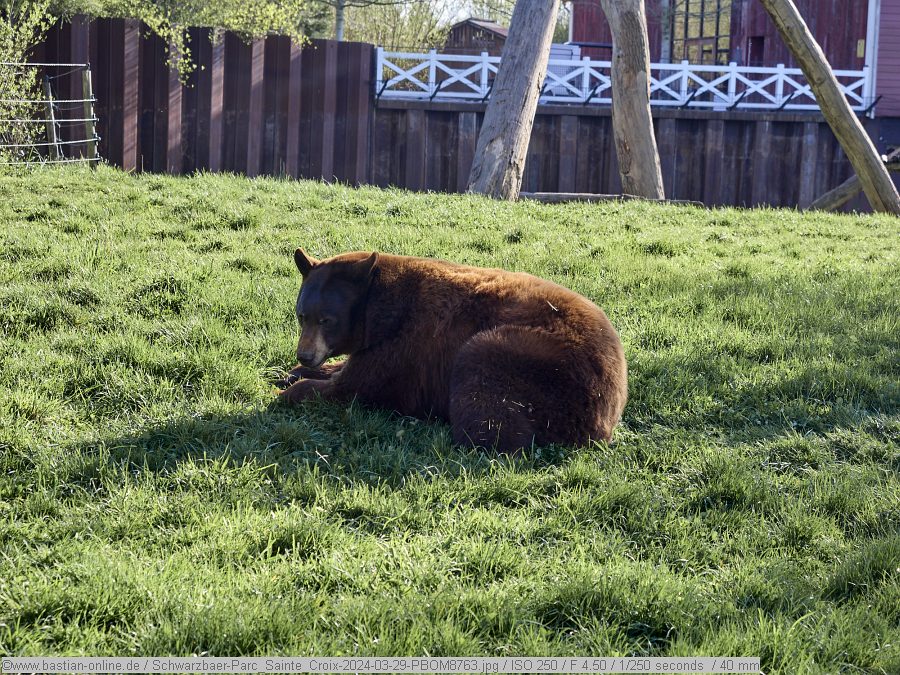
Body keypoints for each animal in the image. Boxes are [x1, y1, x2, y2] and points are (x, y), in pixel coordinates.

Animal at [277, 249, 628, 454]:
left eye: (327, 319)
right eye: (301, 315)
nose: (304, 354)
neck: (381, 309)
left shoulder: (407, 347)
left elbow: (357, 386)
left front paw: (291, 390)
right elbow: (346, 369)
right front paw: (294, 372)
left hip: (533, 360)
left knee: (490, 414)